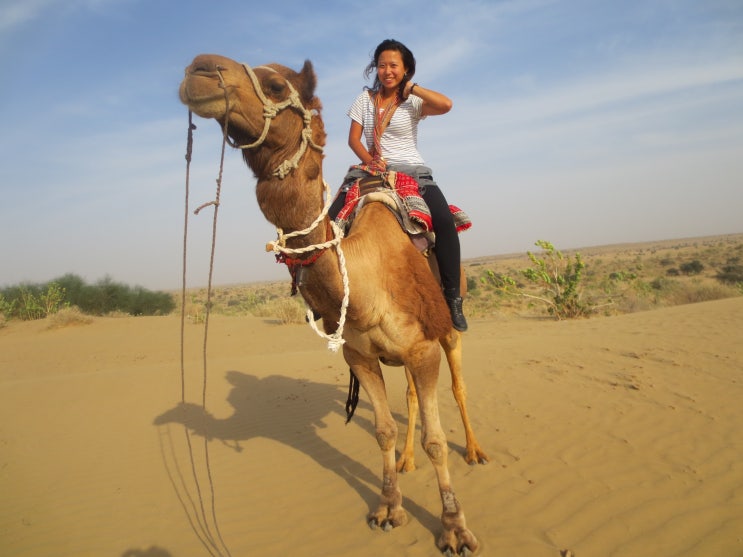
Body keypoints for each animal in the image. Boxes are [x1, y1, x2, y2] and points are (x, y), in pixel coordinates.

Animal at [178, 53, 486, 556]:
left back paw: (476, 452)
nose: (199, 70)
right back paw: (406, 462)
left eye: (276, 84)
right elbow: (383, 429)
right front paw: (388, 509)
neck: (362, 278)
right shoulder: (360, 355)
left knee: (458, 385)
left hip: (449, 323)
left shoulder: (423, 349)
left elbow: (438, 440)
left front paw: (454, 528)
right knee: (410, 400)